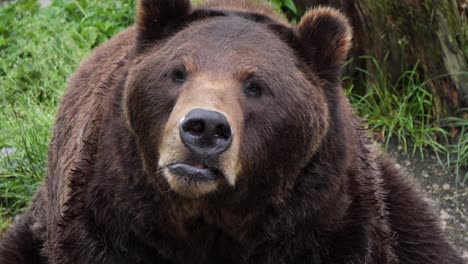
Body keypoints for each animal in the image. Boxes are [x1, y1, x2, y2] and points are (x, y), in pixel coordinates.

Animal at [0, 0, 462, 262]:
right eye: (177, 72)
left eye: (255, 86)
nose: (204, 128)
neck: (213, 214)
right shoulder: (112, 210)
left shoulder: (323, 216)